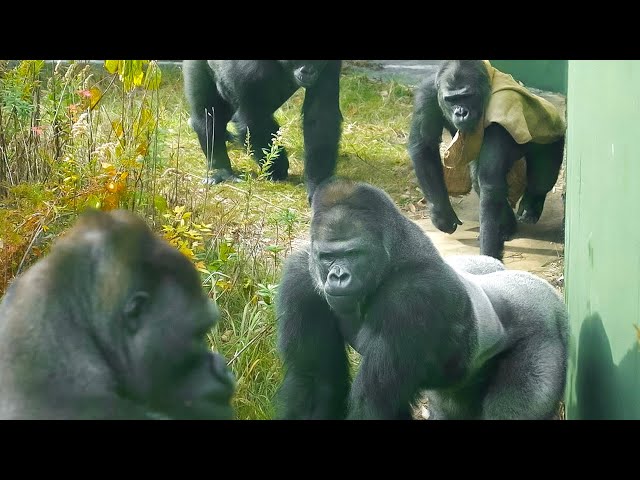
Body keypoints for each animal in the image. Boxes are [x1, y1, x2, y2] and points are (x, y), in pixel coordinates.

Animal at [182, 59, 342, 199]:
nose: (308, 71)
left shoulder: (331, 64)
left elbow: (321, 116)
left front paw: (318, 185)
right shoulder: (251, 72)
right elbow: (253, 120)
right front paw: (277, 168)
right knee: (208, 117)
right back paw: (221, 169)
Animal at [276, 178, 568, 418]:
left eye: (353, 253)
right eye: (328, 257)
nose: (338, 276)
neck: (391, 257)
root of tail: (551, 297)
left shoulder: (411, 297)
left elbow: (376, 403)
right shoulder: (301, 278)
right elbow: (314, 381)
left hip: (543, 334)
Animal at [410, 62, 564, 262]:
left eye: (466, 96)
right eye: (451, 99)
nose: (461, 112)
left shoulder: (502, 109)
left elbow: (490, 184)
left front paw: (490, 255)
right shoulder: (427, 92)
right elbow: (424, 146)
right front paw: (441, 214)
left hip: (552, 139)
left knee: (542, 176)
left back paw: (532, 204)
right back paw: (508, 227)